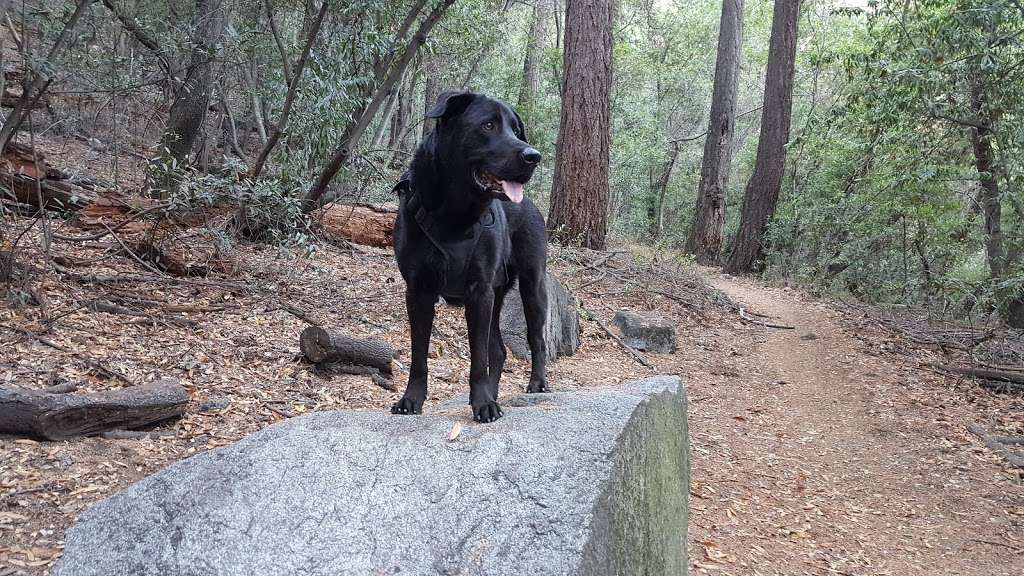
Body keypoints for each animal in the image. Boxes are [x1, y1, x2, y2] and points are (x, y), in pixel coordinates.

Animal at [391, 90, 552, 422]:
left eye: (516, 129)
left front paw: (483, 403)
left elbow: (478, 358)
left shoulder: (479, 291)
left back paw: (537, 383)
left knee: (536, 338)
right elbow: (418, 356)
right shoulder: (418, 291)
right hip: (498, 294)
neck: (454, 217)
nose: (533, 156)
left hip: (532, 285)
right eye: (488, 125)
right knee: (499, 350)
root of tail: (530, 204)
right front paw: (411, 400)